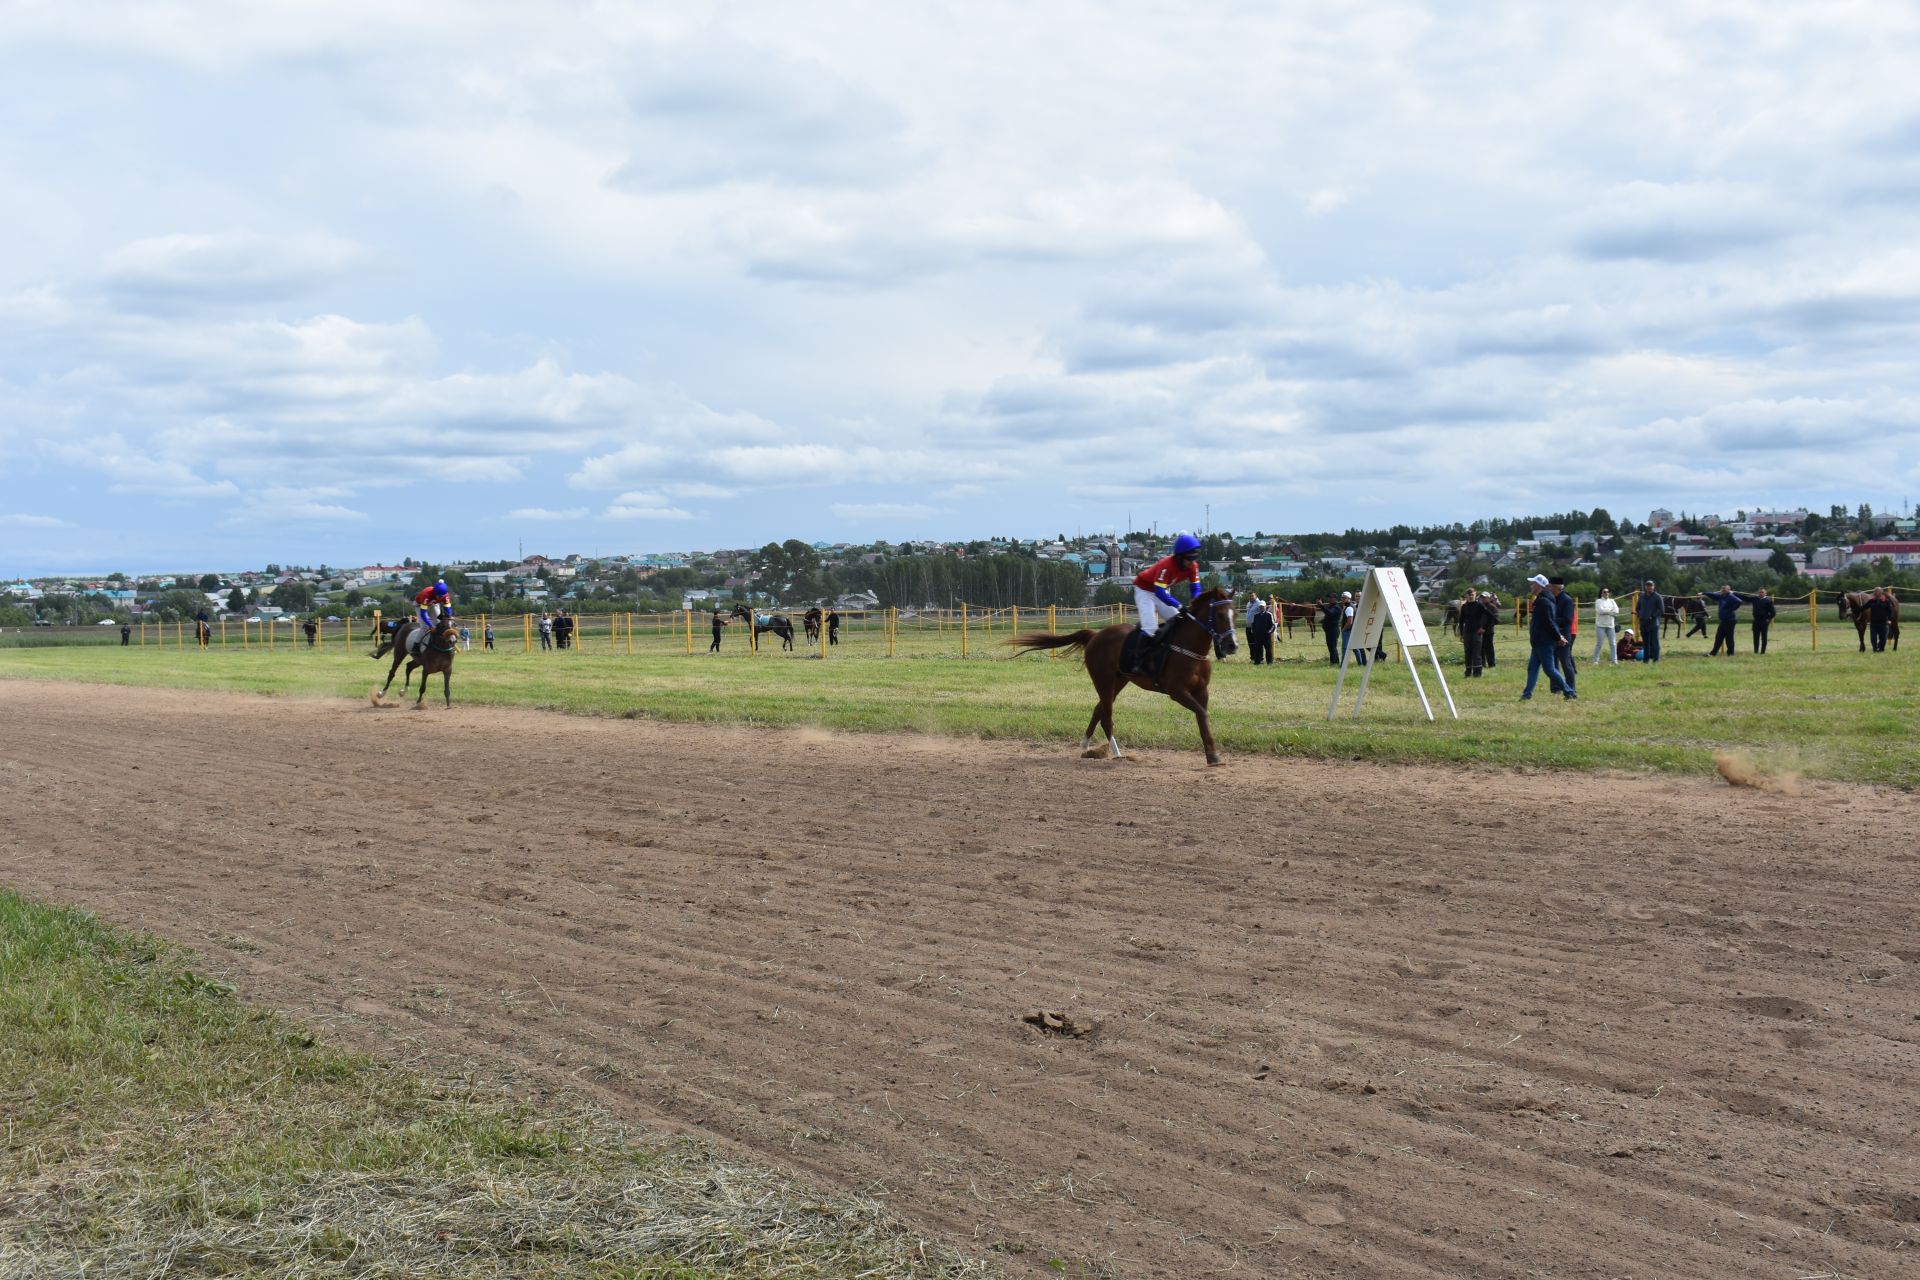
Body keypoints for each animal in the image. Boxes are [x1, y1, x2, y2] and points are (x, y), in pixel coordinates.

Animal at [1013, 587, 1236, 767]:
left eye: (1233, 613)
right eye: (1220, 615)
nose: (1232, 645)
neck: (1189, 648)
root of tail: (1095, 635)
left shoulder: (1202, 690)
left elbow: (1202, 716)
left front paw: (1212, 754)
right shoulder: (1177, 691)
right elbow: (1202, 714)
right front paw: (1213, 755)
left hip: (1119, 680)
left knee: (1098, 709)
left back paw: (1085, 746)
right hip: (1103, 679)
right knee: (1106, 716)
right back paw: (1117, 753)